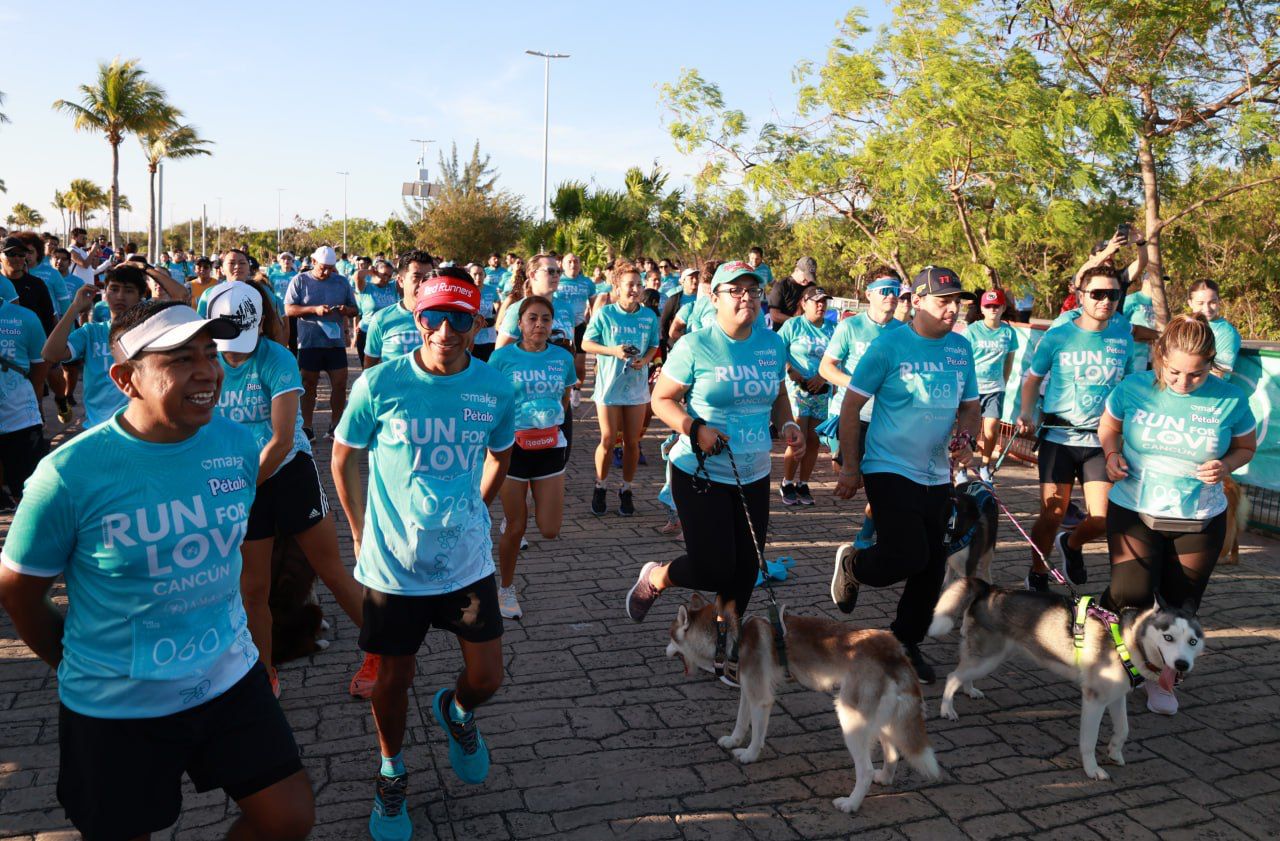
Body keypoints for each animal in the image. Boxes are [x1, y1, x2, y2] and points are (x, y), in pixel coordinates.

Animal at [670, 593, 942, 808]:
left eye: (671, 638)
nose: (665, 651)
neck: (732, 636)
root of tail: (894, 651)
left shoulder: (761, 699)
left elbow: (756, 733)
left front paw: (749, 755)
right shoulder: (749, 690)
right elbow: (740, 721)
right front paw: (733, 740)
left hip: (851, 718)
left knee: (864, 770)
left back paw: (850, 804)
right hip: (878, 718)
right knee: (893, 753)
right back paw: (884, 778)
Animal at [926, 581, 1203, 778]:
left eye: (1193, 641)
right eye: (1168, 637)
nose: (1182, 664)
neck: (1127, 641)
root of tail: (989, 588)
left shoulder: (1116, 696)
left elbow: (1123, 729)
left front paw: (1115, 752)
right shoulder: (1094, 699)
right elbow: (1089, 741)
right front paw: (1092, 770)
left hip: (990, 658)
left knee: (964, 674)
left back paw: (969, 690)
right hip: (988, 658)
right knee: (953, 676)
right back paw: (947, 709)